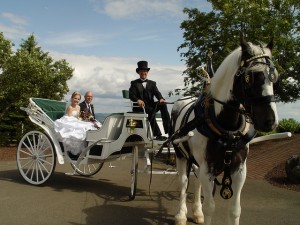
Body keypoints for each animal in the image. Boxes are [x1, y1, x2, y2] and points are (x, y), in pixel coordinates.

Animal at [171, 35, 278, 225]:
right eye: (250, 77)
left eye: (275, 78)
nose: (270, 121)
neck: (227, 130)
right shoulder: (208, 168)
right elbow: (210, 207)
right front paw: (197, 212)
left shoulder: (239, 170)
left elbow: (235, 210)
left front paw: (201, 212)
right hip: (181, 154)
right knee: (183, 182)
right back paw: (181, 215)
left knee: (196, 182)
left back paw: (196, 212)